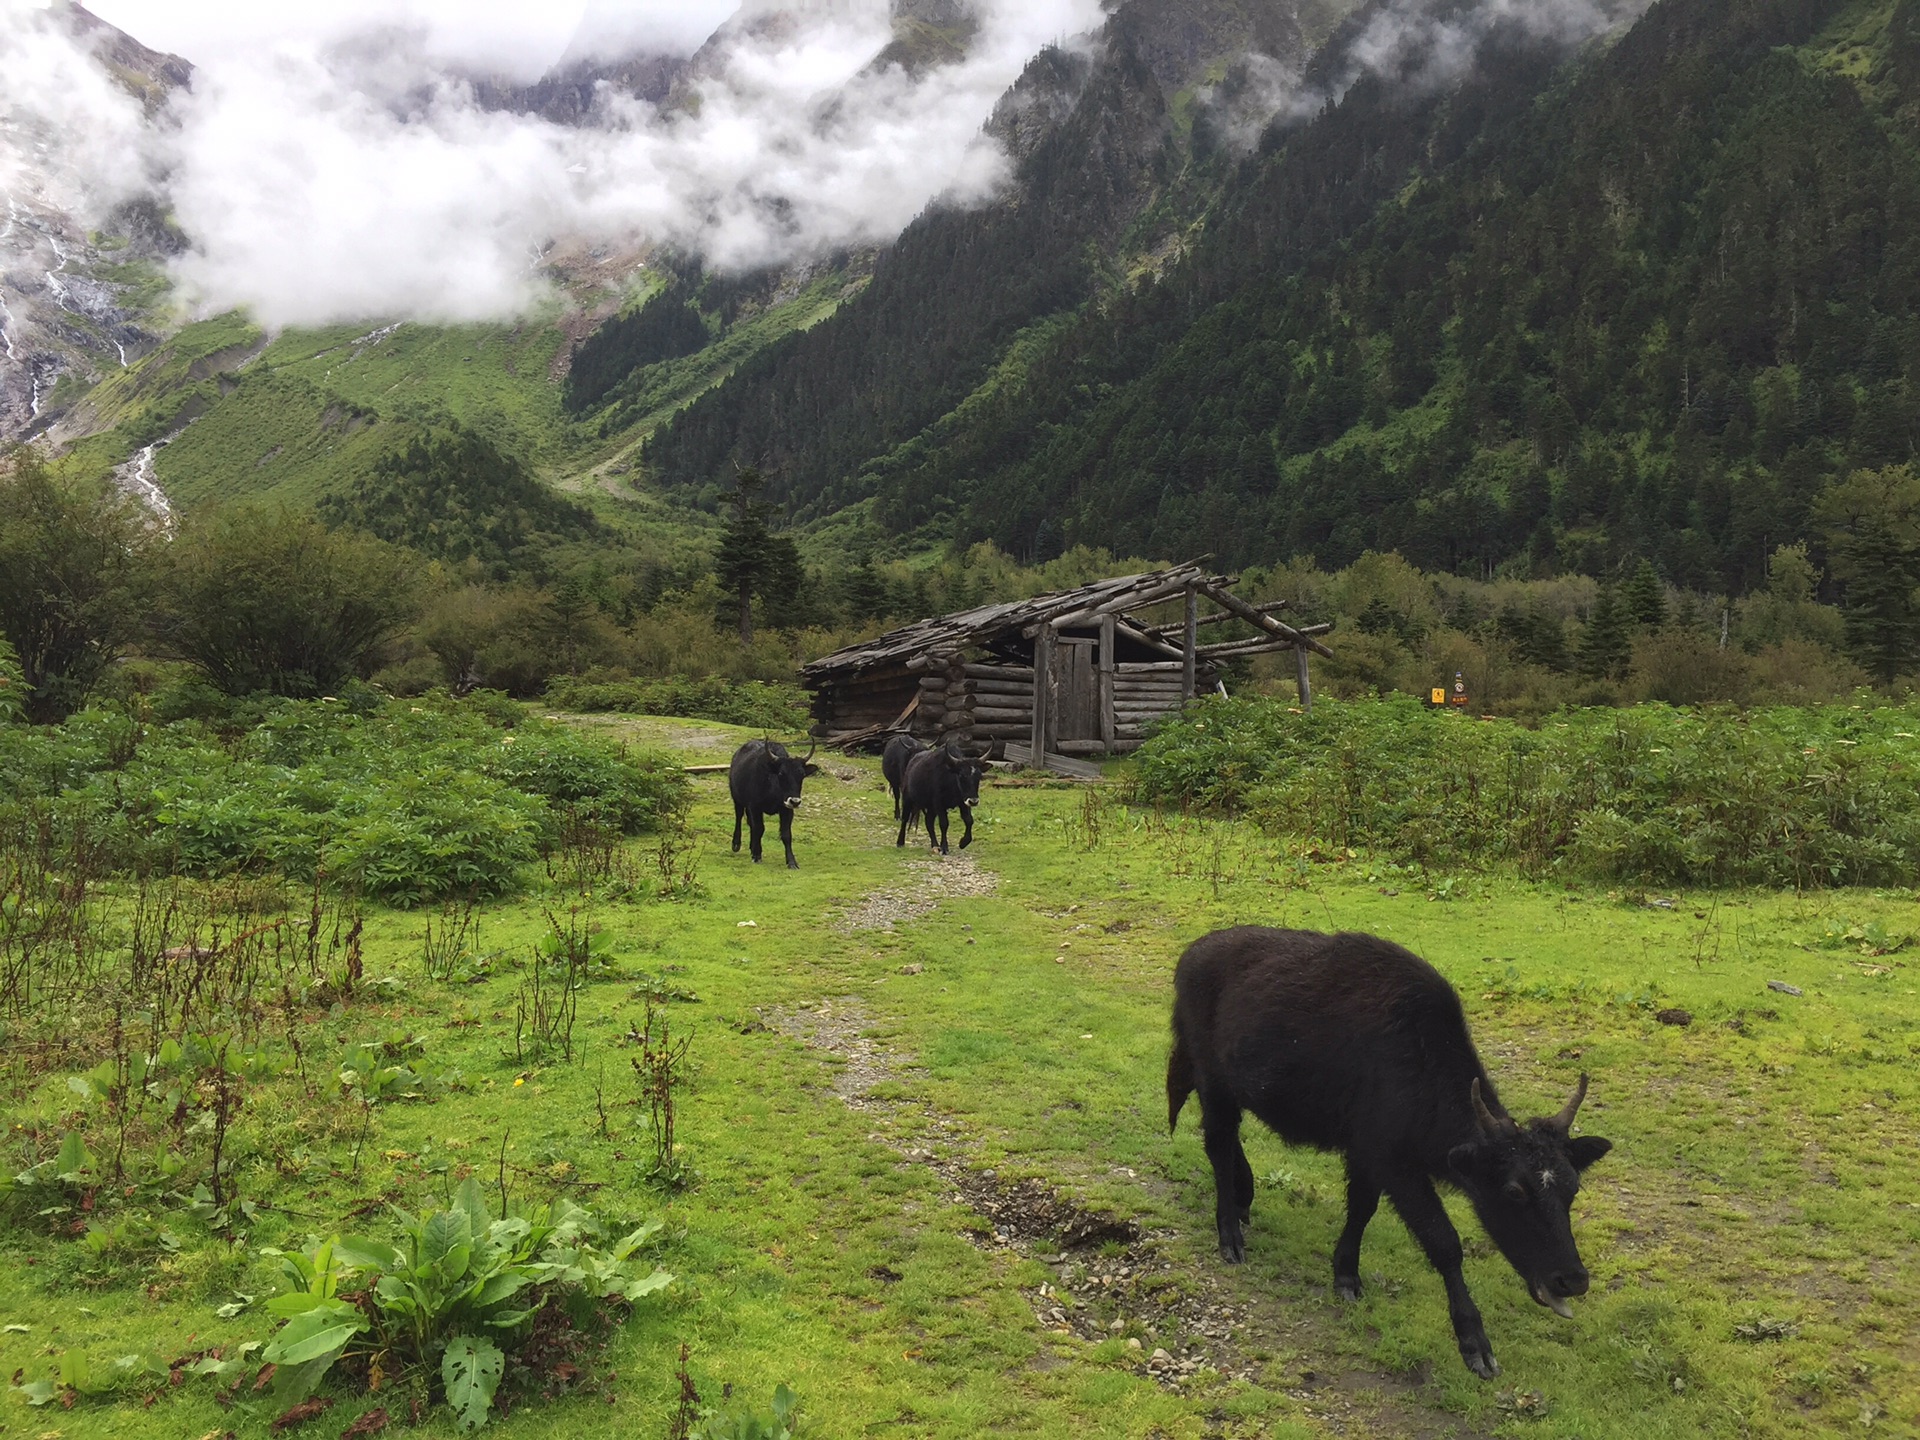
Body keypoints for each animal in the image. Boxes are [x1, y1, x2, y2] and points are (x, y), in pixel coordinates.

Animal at [1167, 929, 1605, 1382]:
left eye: (1572, 1188)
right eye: (1514, 1191)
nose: (1572, 1280)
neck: (1417, 1060)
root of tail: (1193, 952)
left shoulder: (1367, 1157)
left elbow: (1362, 1210)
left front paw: (1346, 1275)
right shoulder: (1395, 1165)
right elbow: (1444, 1242)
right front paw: (1475, 1343)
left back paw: (1244, 1197)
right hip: (1212, 1082)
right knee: (1218, 1146)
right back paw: (1230, 1236)